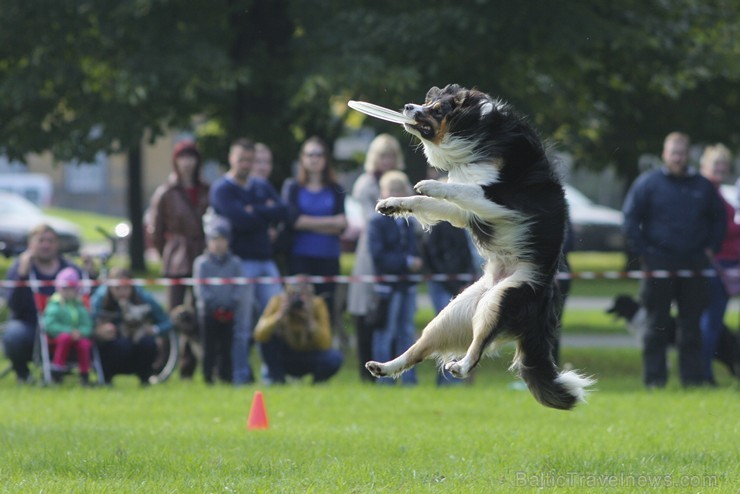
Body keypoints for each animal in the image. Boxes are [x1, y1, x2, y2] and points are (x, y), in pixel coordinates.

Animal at [364, 85, 596, 410]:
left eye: (437, 109)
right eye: (426, 102)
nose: (408, 106)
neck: (479, 132)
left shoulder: (501, 201)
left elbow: (461, 188)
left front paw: (431, 185)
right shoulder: (466, 212)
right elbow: (427, 202)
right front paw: (393, 203)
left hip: (500, 301)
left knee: (477, 349)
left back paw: (459, 366)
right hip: (452, 313)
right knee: (420, 350)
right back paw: (384, 366)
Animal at [608, 294, 740, 378]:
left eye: (617, 303)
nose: (606, 310)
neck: (637, 315)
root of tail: (725, 327)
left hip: (720, 352)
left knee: (732, 360)